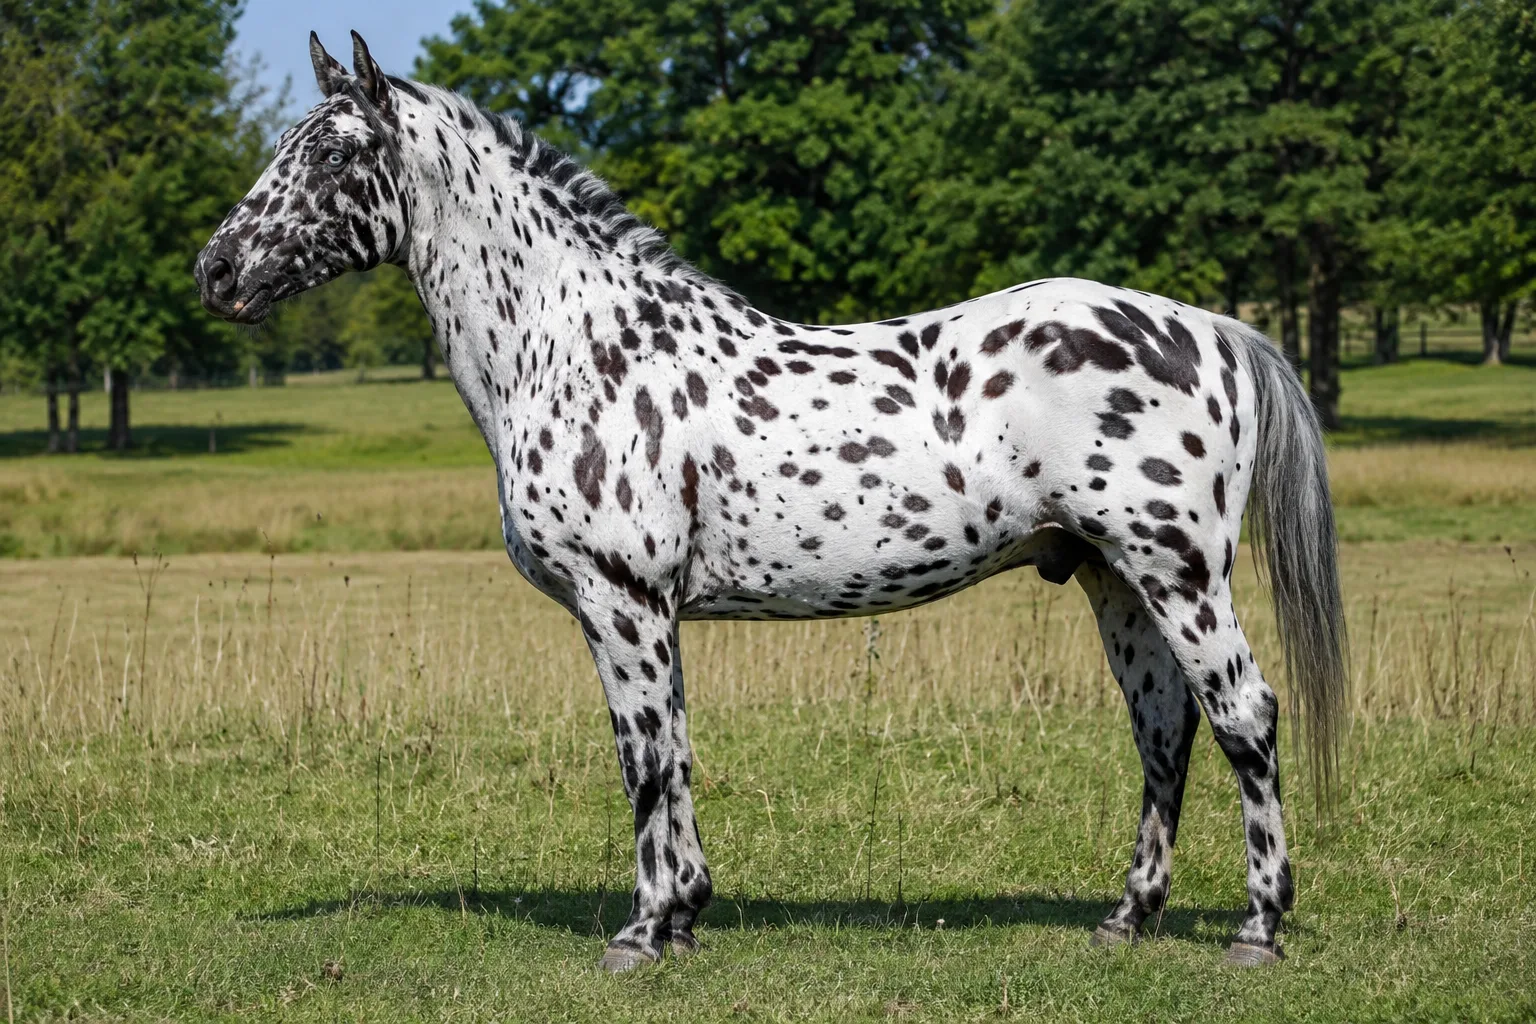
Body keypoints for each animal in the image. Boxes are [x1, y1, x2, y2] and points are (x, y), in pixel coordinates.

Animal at [195, 32, 1346, 971]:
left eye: (334, 155)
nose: (216, 271)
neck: (579, 346)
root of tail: (1206, 328)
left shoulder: (621, 601)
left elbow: (643, 759)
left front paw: (641, 933)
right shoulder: (647, 613)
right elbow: (674, 749)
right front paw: (687, 915)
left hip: (1179, 574)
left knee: (1244, 715)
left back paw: (1257, 928)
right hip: (1114, 580)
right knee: (1164, 728)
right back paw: (1127, 918)